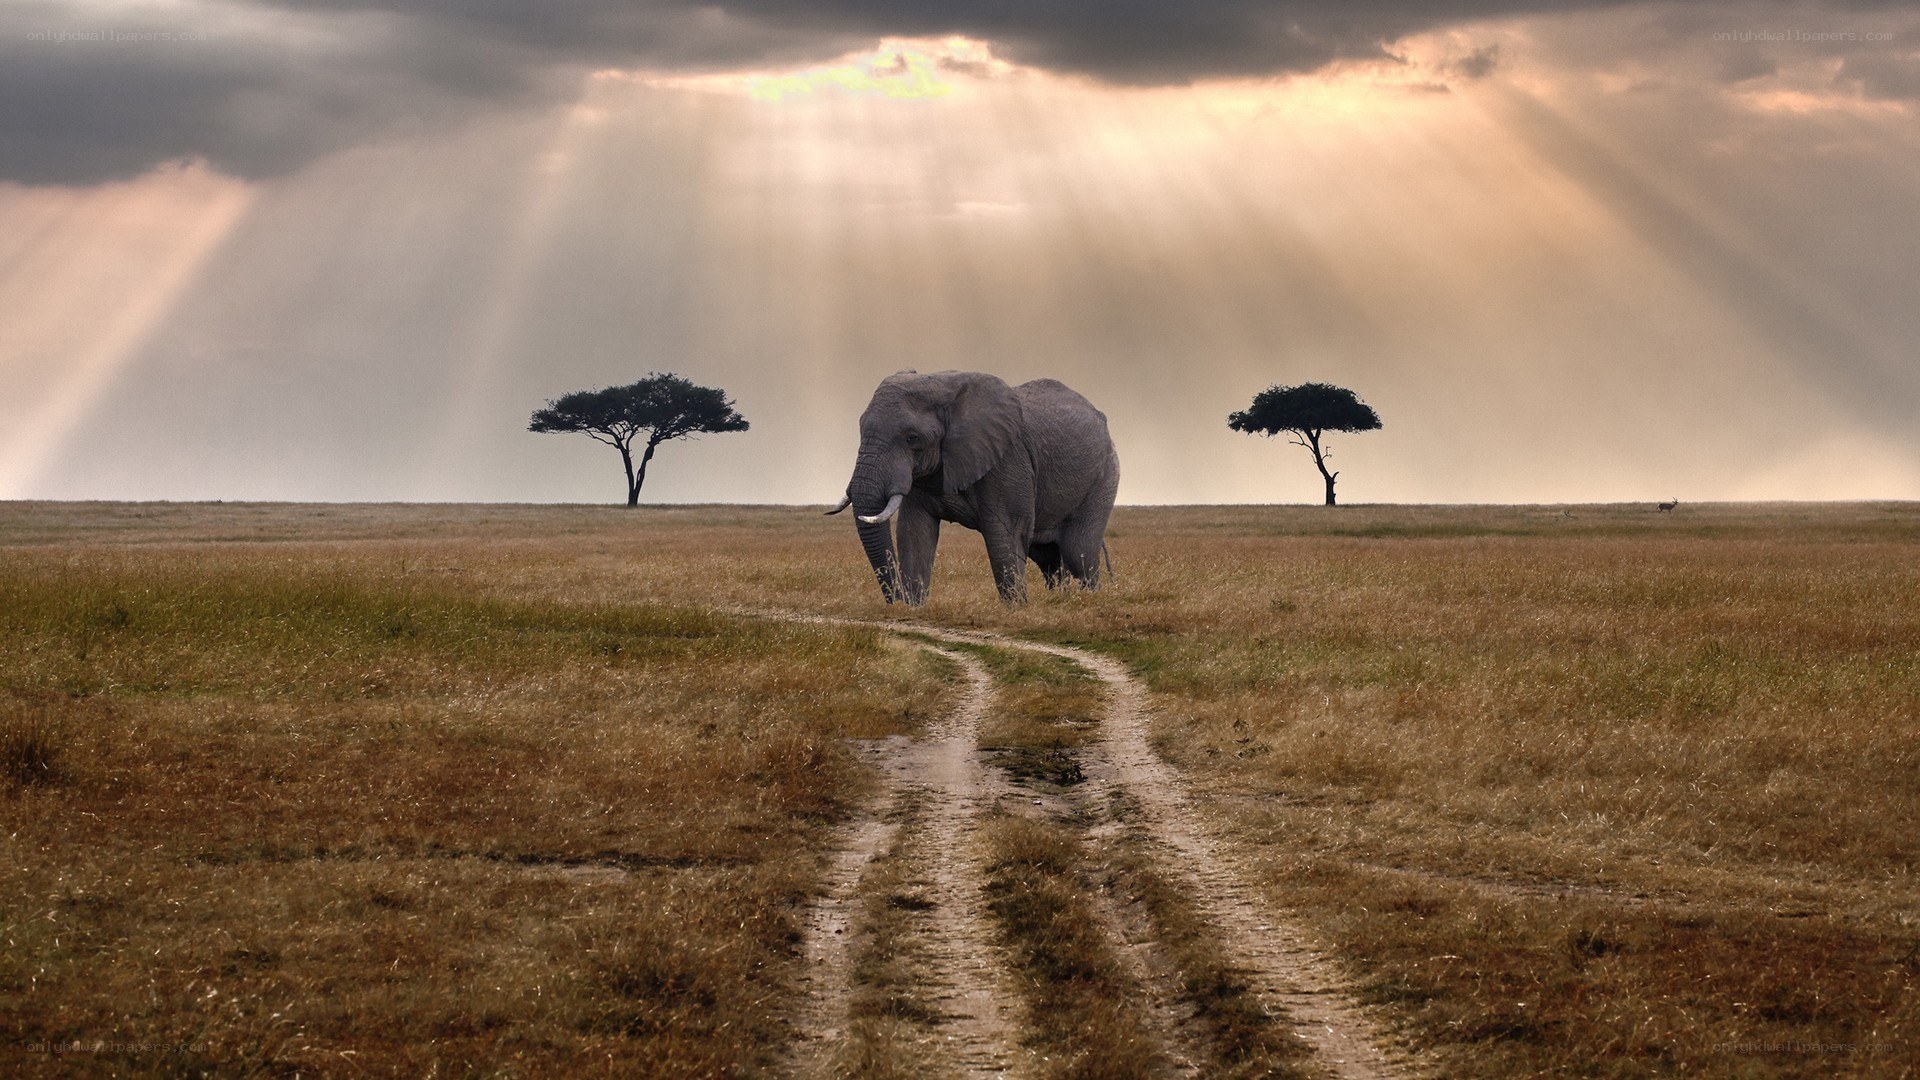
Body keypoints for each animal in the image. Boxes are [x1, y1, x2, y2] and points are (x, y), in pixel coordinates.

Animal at [827, 370, 1120, 605]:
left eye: (912, 438)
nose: (896, 600)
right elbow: (913, 533)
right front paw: (915, 608)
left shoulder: (1007, 458)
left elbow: (1004, 534)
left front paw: (1017, 611)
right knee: (1048, 558)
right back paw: (1060, 601)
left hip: (1104, 476)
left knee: (1078, 552)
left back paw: (1089, 602)